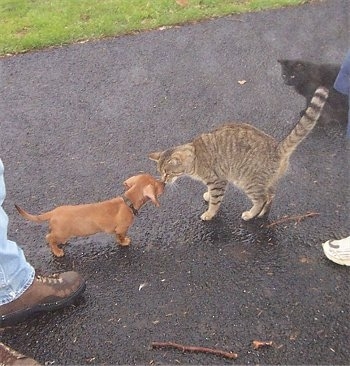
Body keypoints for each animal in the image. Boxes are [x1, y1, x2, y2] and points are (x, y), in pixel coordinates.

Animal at [14, 174, 165, 258]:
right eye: (156, 184)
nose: (164, 182)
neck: (128, 202)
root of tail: (54, 211)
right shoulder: (121, 229)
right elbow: (121, 237)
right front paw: (124, 242)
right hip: (61, 233)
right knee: (49, 238)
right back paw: (57, 251)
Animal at [150, 87, 328, 222]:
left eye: (167, 173)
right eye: (160, 172)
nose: (162, 180)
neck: (195, 156)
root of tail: (277, 147)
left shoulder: (218, 181)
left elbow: (215, 201)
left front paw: (209, 213)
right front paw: (208, 196)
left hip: (248, 182)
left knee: (261, 198)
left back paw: (250, 214)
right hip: (267, 181)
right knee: (270, 195)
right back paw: (262, 214)